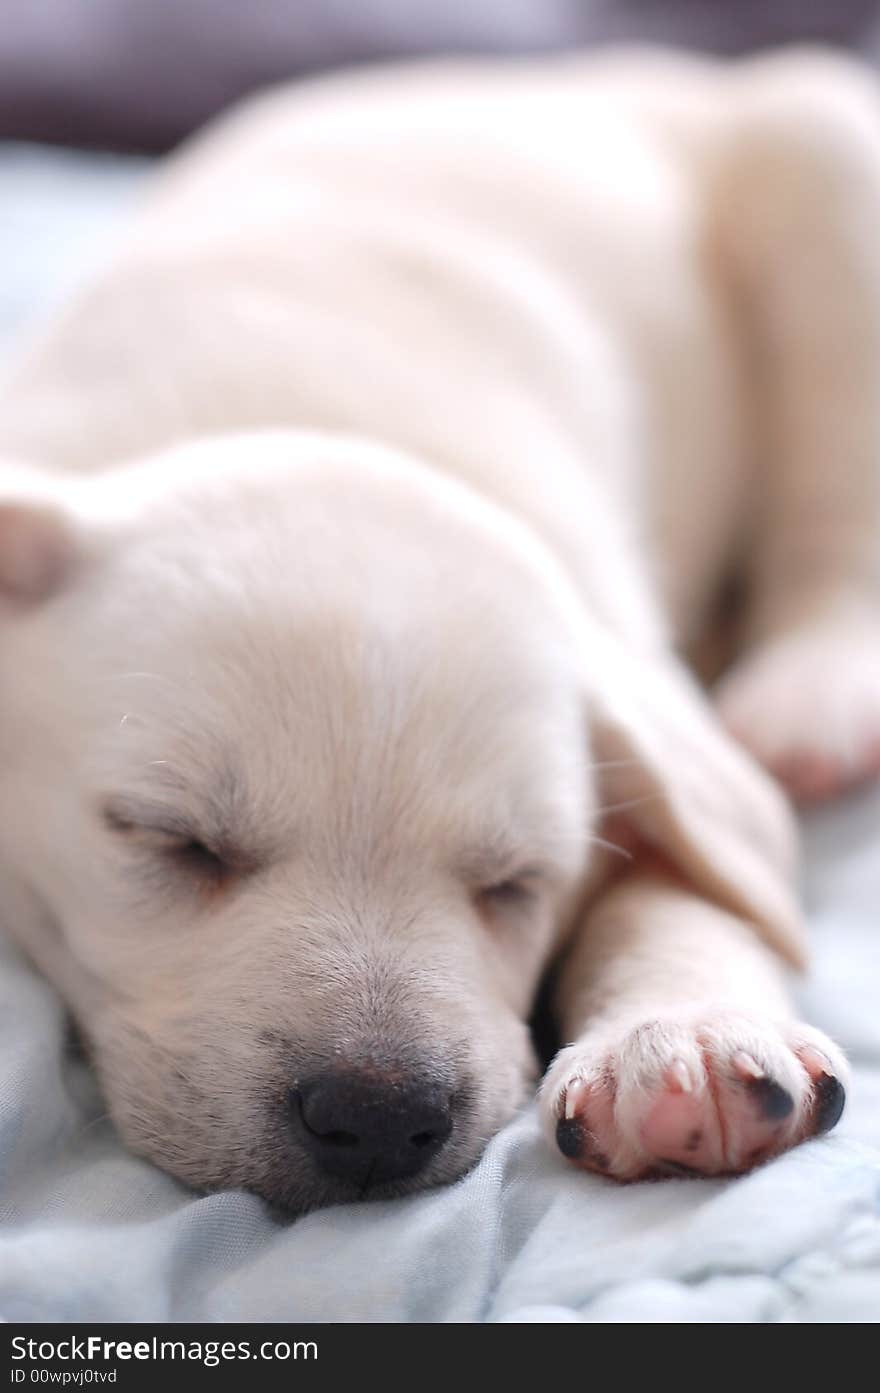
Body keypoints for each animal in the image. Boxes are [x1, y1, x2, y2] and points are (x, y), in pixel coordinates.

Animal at [0, 51, 874, 1209]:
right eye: (170, 839)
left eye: (515, 881)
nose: (377, 1118)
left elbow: (687, 879)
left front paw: (685, 1037)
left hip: (821, 153)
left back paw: (813, 696)